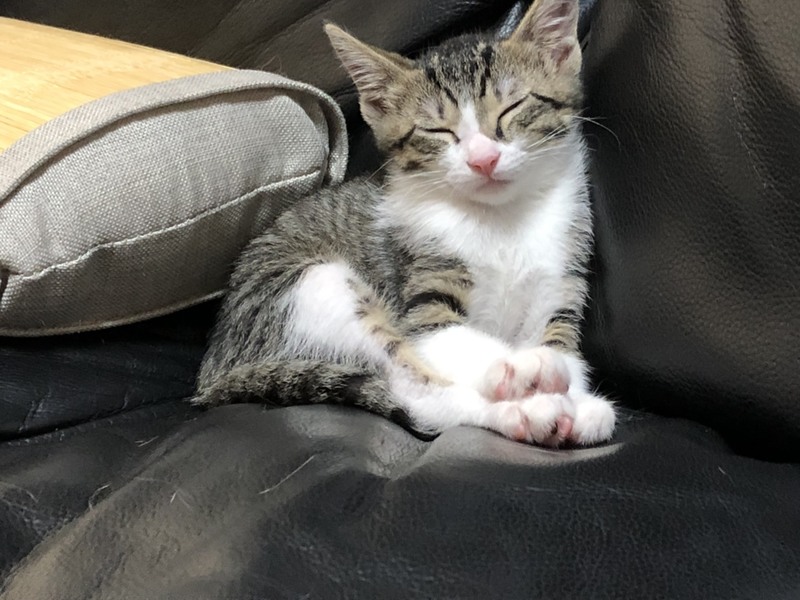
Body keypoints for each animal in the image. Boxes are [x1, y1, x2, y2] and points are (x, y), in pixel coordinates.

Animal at [193, 0, 616, 448]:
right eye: (437, 130)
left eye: (512, 107)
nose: (483, 160)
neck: (500, 218)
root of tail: (212, 371)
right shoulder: (422, 300)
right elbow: (449, 341)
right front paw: (524, 368)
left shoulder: (562, 278)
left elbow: (564, 350)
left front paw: (569, 388)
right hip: (310, 287)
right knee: (415, 394)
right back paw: (525, 410)